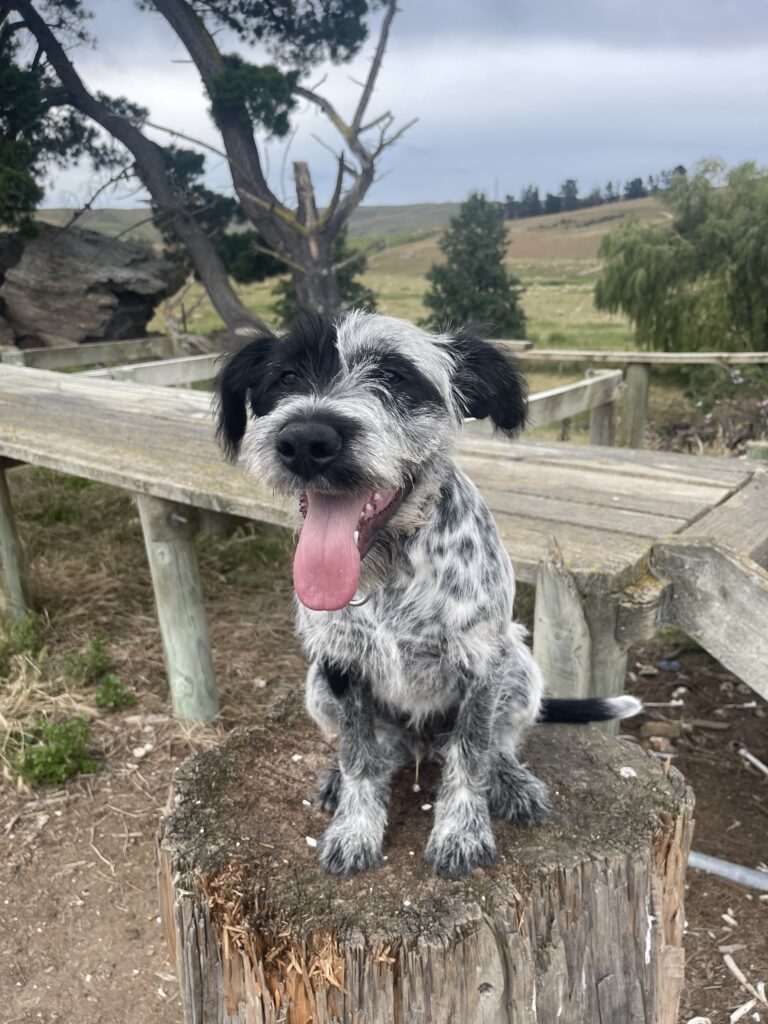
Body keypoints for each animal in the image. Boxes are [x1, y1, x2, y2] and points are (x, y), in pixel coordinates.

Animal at [215, 311, 641, 878]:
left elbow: (471, 755)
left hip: (521, 667)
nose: (305, 441)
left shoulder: (482, 665)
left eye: (394, 376)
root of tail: (419, 743)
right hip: (317, 684)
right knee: (375, 750)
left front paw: (461, 833)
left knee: (498, 743)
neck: (390, 577)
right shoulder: (342, 665)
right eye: (283, 378)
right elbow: (358, 756)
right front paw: (355, 828)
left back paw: (511, 781)